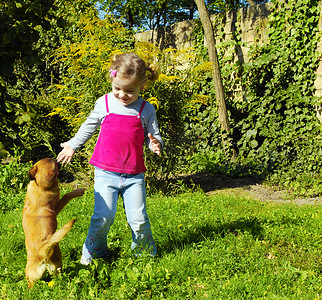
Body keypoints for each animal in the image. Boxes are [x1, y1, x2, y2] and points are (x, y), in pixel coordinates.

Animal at [23, 158, 85, 288]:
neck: (40, 186)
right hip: (58, 264)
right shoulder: (57, 207)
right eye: (54, 165)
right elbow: (67, 195)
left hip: (31, 278)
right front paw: (78, 191)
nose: (57, 159)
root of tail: (41, 254)